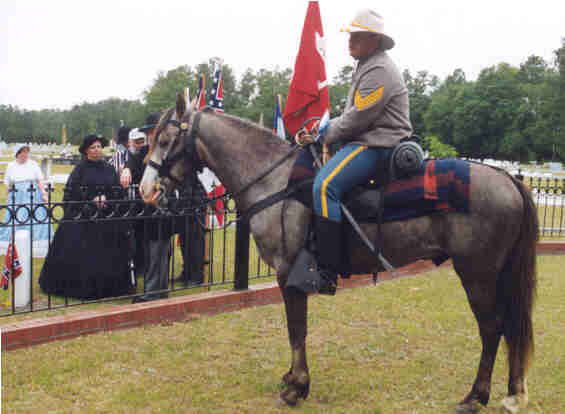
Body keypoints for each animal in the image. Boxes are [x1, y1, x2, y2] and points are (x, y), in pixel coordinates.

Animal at [139, 94, 538, 413]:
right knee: (510, 327)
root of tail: (508, 178)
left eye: (165, 139)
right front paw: (292, 379)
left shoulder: (289, 274)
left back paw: (475, 397)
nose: (145, 190)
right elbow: (296, 330)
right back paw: (511, 393)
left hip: (477, 274)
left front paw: (296, 387)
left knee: (492, 328)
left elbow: (296, 329)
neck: (275, 182)